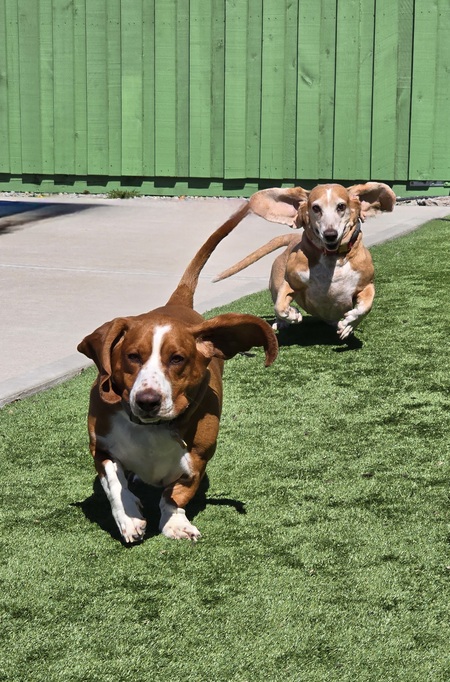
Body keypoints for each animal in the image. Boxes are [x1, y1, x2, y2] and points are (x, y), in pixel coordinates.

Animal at [79, 205, 280, 540]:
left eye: (177, 359)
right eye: (132, 356)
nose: (148, 401)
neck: (151, 429)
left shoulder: (197, 458)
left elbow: (175, 494)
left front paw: (175, 522)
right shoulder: (100, 446)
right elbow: (114, 483)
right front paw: (129, 517)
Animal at [214, 182, 394, 338]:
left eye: (341, 206)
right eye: (316, 208)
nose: (330, 234)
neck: (332, 259)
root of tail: (291, 238)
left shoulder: (367, 284)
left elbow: (366, 307)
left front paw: (349, 324)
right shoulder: (290, 282)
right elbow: (279, 306)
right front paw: (292, 315)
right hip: (275, 283)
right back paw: (282, 322)